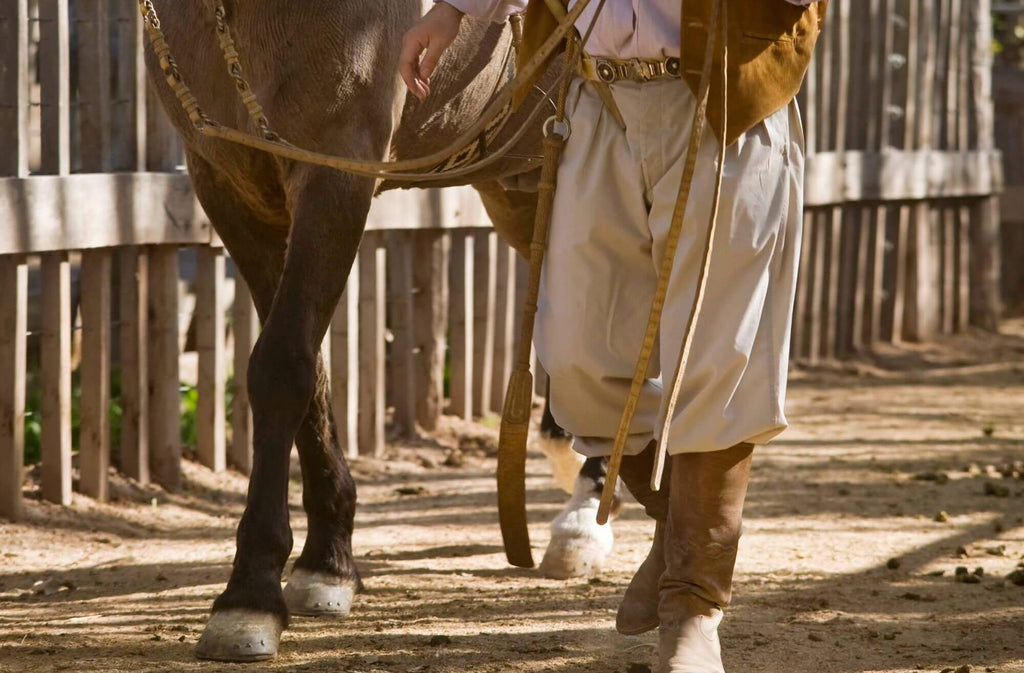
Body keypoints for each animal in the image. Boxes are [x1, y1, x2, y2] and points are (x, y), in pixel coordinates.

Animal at [147, 0, 618, 659]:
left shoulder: (335, 171)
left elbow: (283, 365)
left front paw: (249, 595)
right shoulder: (228, 181)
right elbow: (307, 371)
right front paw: (327, 563)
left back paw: (589, 513)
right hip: (520, 176)